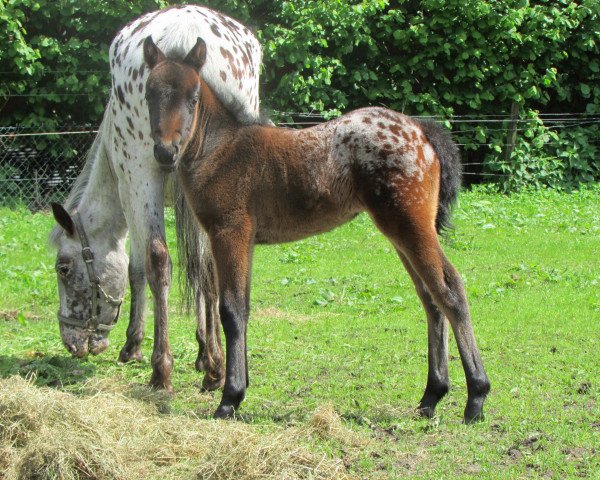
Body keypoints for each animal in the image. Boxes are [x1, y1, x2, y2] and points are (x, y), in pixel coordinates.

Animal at [48, 5, 260, 392]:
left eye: (64, 268)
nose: (73, 343)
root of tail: (184, 27)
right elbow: (200, 272)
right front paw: (206, 355)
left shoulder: (130, 190)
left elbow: (139, 268)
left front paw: (134, 345)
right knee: (211, 265)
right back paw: (217, 368)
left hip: (142, 175)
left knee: (160, 260)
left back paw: (161, 369)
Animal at [143, 36, 490, 420]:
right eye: (149, 94)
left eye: (192, 98)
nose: (165, 152)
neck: (220, 149)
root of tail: (421, 130)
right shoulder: (243, 240)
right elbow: (243, 307)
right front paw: (240, 387)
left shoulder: (229, 232)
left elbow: (231, 310)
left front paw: (229, 399)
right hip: (401, 233)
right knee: (431, 299)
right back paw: (431, 396)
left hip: (411, 227)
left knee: (450, 291)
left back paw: (476, 397)